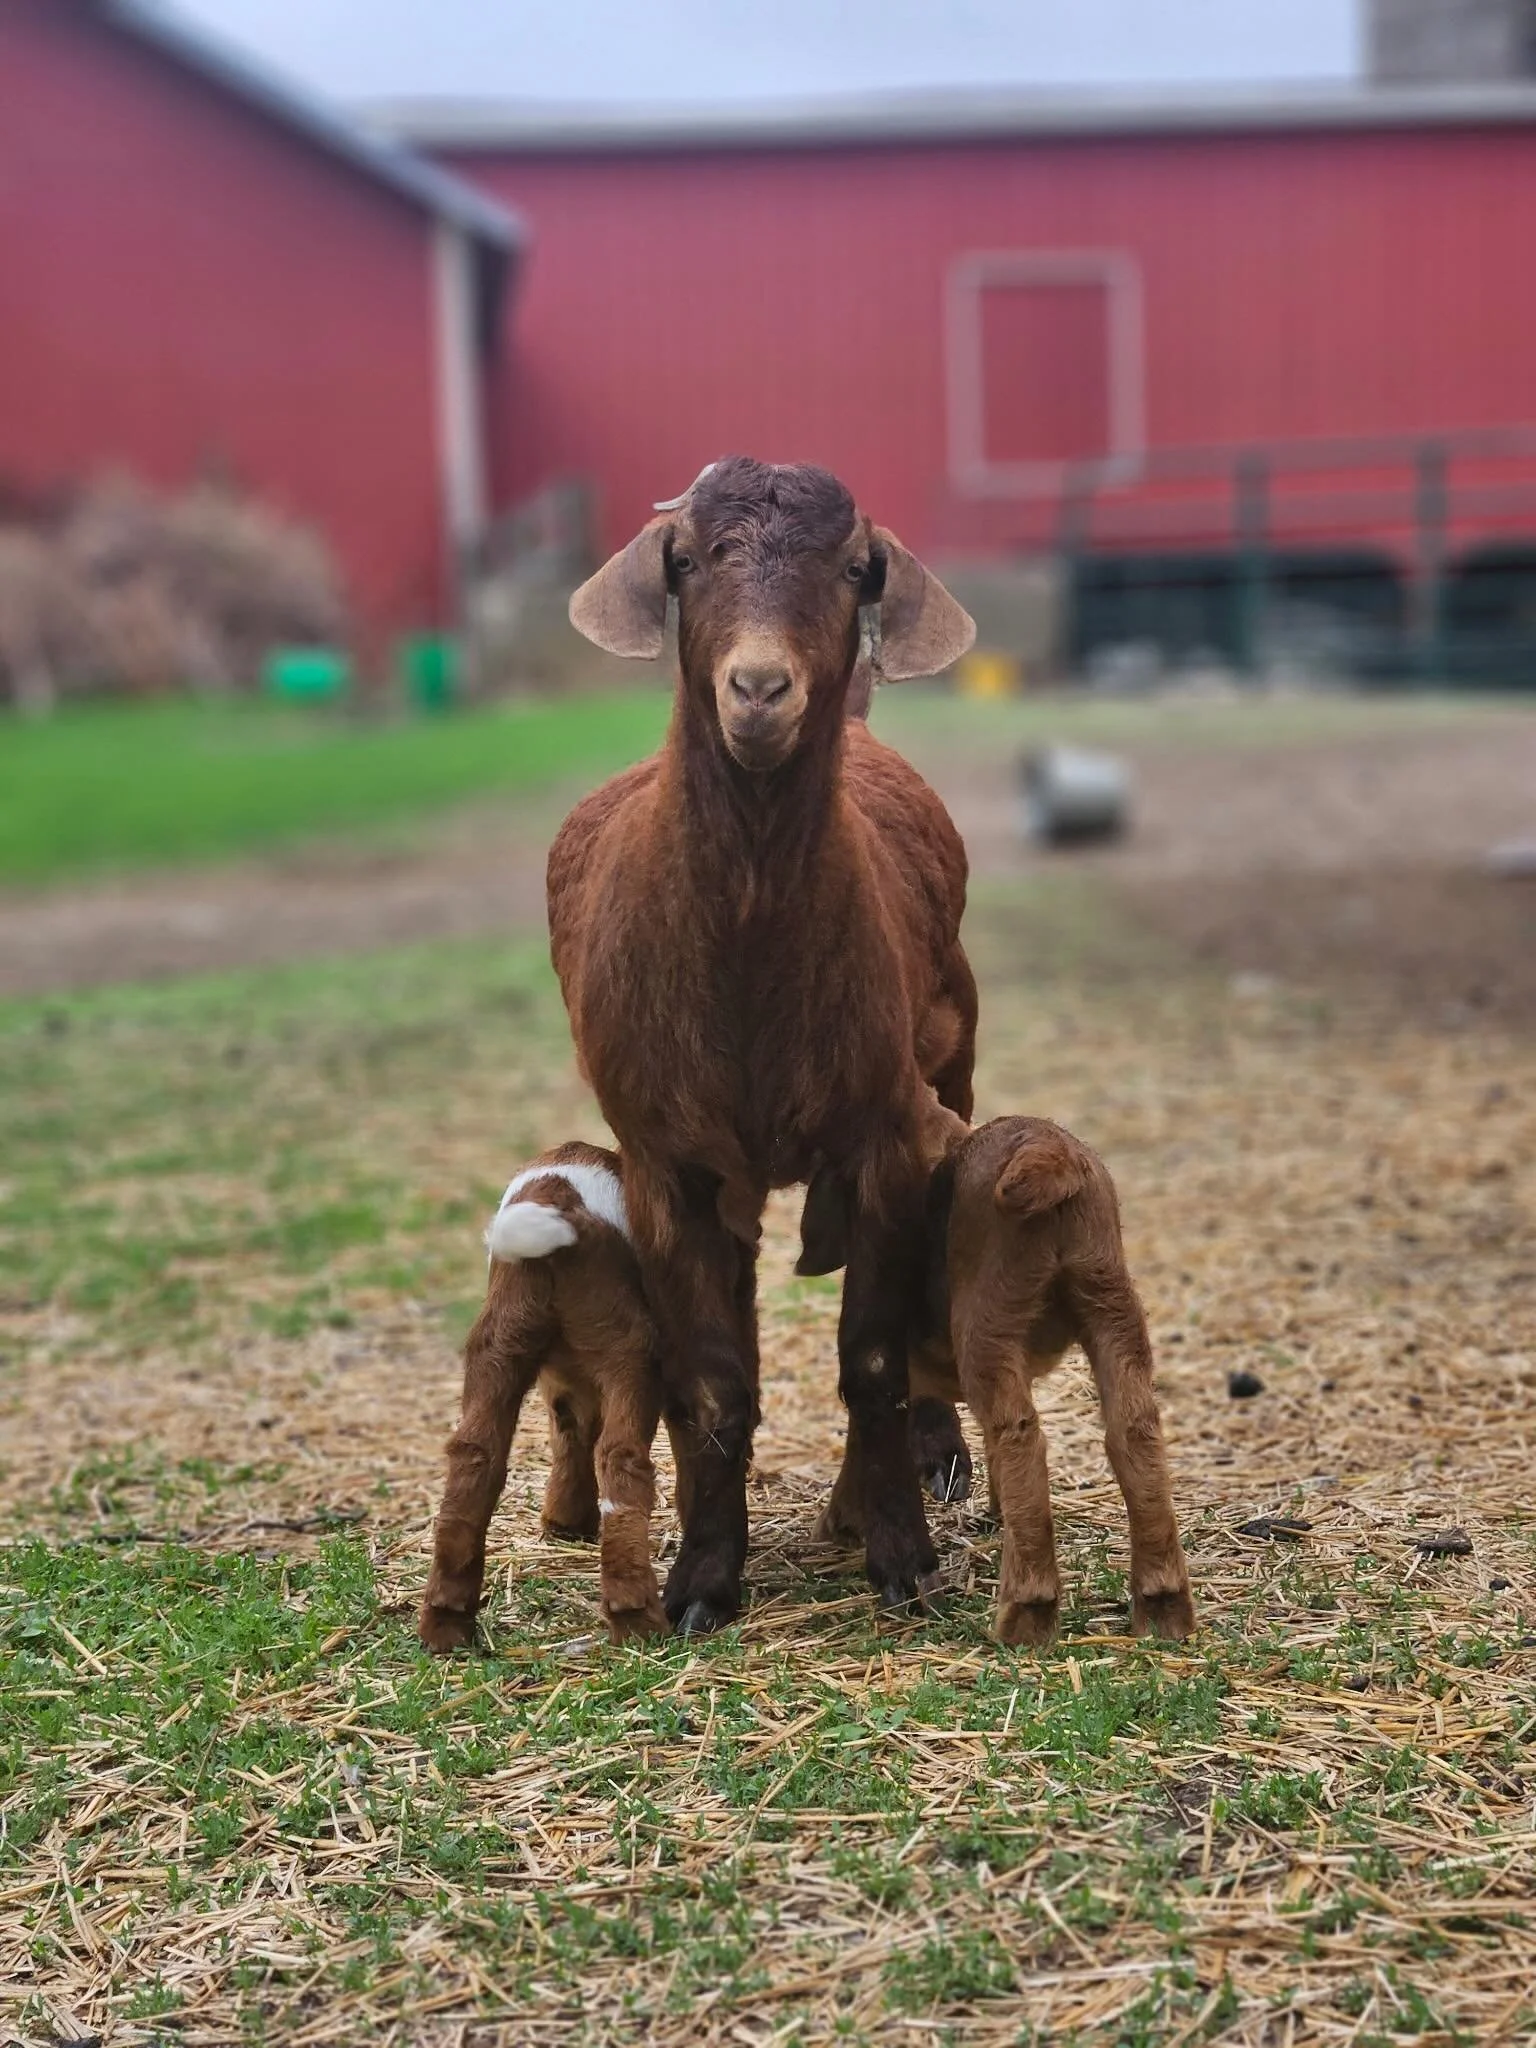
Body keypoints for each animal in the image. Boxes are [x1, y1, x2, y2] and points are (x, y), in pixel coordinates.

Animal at [418, 1142, 667, 1652]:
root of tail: (559, 1198)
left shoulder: (562, 1380)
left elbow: (569, 1435)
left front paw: (565, 1522)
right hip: (631, 1348)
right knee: (621, 1458)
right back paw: (638, 1620)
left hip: (499, 1343)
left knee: (475, 1457)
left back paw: (445, 1624)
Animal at [552, 456, 977, 1630]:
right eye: (688, 560)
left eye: (852, 568)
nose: (757, 690)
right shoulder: (669, 1162)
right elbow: (712, 1377)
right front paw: (703, 1579)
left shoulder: (883, 1136)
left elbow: (873, 1356)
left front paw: (902, 1558)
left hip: (953, 1062)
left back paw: (916, 1467)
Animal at [805, 1112, 1196, 1647]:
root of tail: (1048, 1155)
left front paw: (842, 1524)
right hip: (1110, 1303)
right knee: (1133, 1430)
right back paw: (1162, 1605)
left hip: (990, 1316)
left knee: (1019, 1435)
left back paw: (1026, 1613)